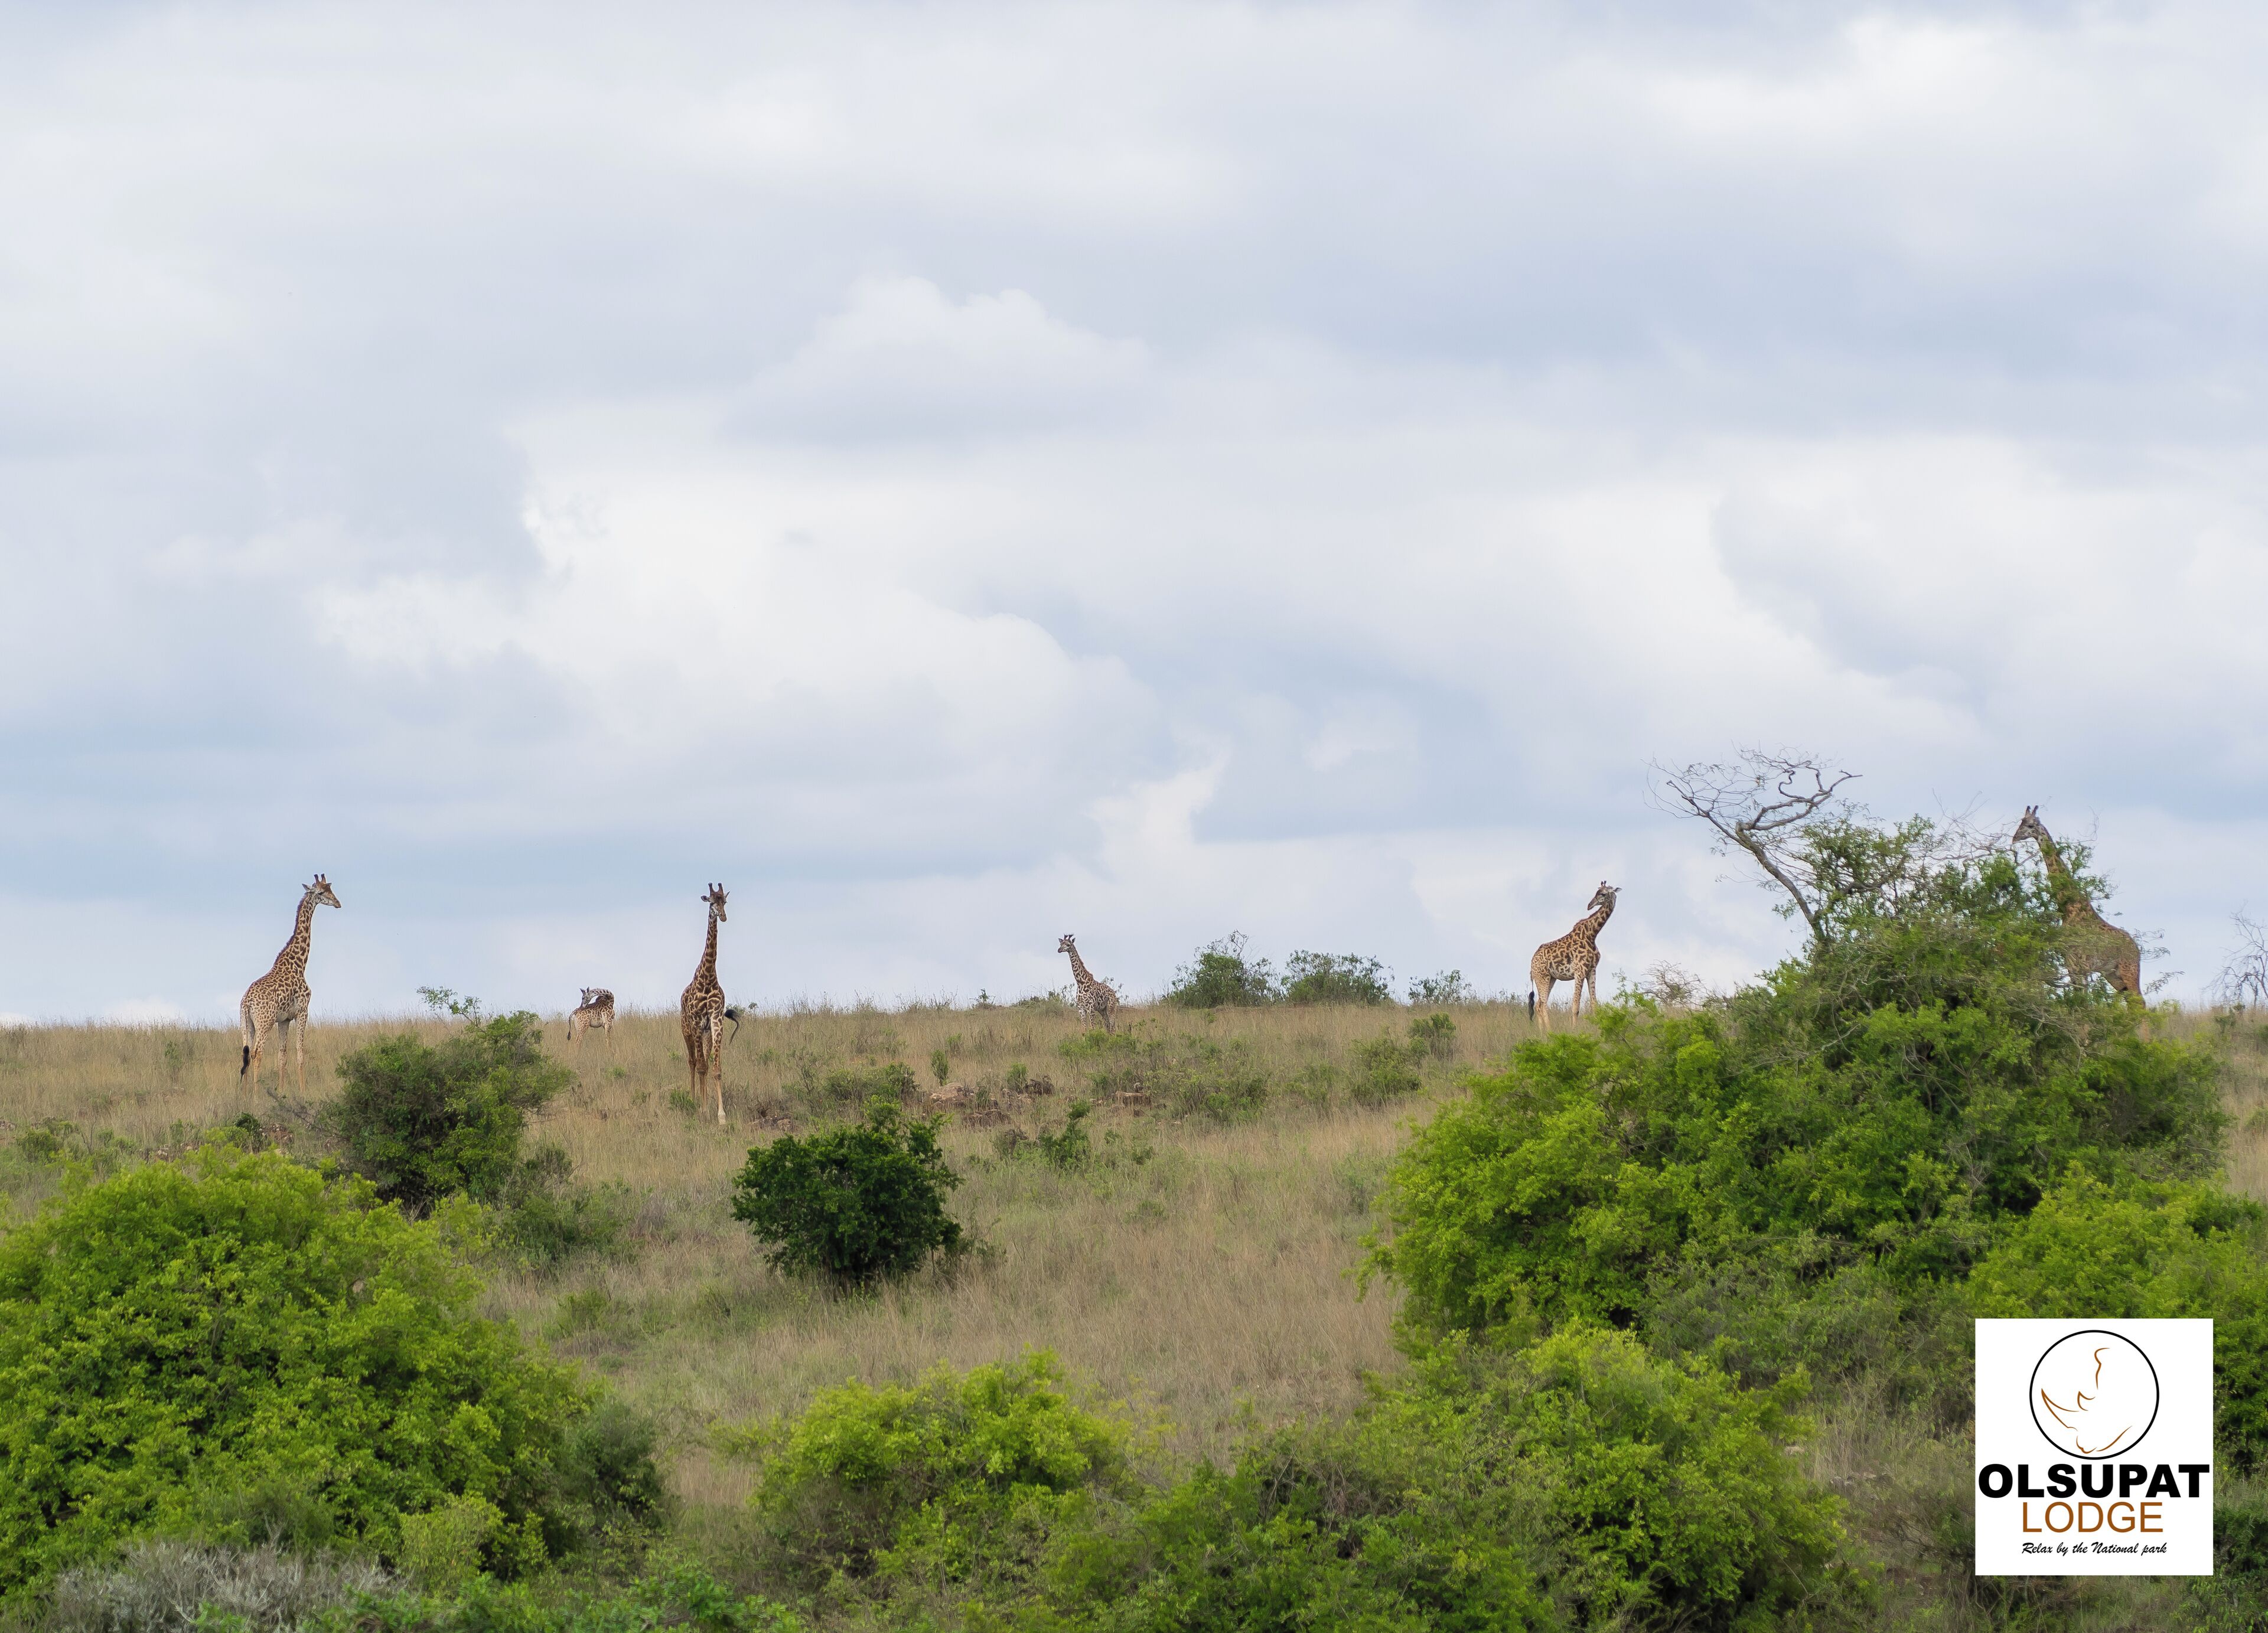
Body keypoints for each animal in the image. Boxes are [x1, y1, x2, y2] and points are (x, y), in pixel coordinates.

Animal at [238, 874, 342, 1096]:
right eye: (321, 892)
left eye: (331, 889)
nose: (338, 903)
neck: (299, 963)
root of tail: (247, 1002)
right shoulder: (303, 1012)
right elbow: (300, 1053)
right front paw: (303, 1091)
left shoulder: (284, 1020)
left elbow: (282, 1056)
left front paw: (282, 1090)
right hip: (265, 1022)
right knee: (257, 1053)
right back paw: (256, 1096)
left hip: (246, 1024)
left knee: (245, 1053)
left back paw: (243, 1094)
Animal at [1057, 934, 1120, 1033]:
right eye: (1061, 944)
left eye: (1068, 944)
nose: (1059, 950)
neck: (1081, 982)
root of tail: (1114, 993)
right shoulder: (1081, 1009)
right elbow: (1084, 1030)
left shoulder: (1091, 1008)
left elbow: (1093, 1029)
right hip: (1102, 1010)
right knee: (1107, 1026)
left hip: (1111, 1008)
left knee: (1113, 1027)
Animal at [1529, 881, 1618, 1032]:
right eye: (1597, 892)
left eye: (1603, 894)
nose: (1589, 905)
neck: (1592, 935)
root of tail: (1531, 964)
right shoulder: (1579, 971)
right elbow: (1575, 1007)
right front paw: (1574, 1032)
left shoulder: (1592, 970)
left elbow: (1595, 1005)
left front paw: (1599, 1030)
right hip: (1543, 977)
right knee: (1543, 1005)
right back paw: (1550, 1032)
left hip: (1551, 978)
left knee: (1539, 1005)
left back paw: (1542, 1033)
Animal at [2013, 806, 2143, 996]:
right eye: (2020, 822)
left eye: (2030, 825)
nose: (2014, 838)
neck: (2068, 907)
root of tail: (2138, 951)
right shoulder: (2071, 964)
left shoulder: (2081, 964)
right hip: (2113, 974)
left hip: (2129, 970)